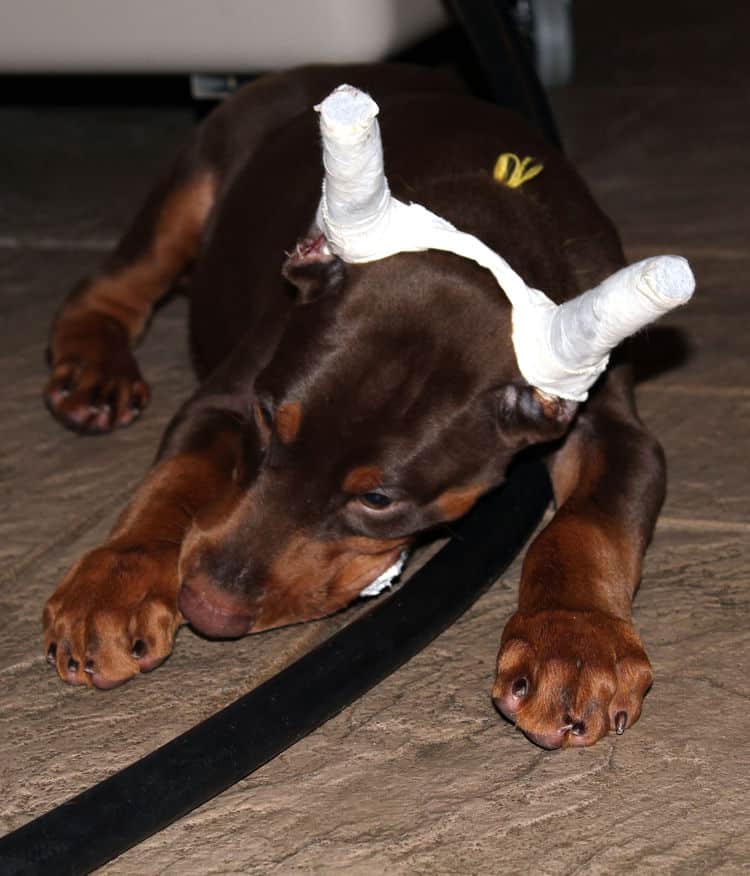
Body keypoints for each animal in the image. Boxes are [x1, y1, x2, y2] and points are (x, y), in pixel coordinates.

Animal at [41, 65, 664, 748]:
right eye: (267, 420)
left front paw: (574, 642)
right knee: (116, 278)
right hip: (197, 174)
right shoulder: (227, 397)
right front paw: (113, 584)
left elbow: (587, 523)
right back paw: (94, 370)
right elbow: (178, 477)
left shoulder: (612, 423)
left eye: (378, 499)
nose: (206, 606)